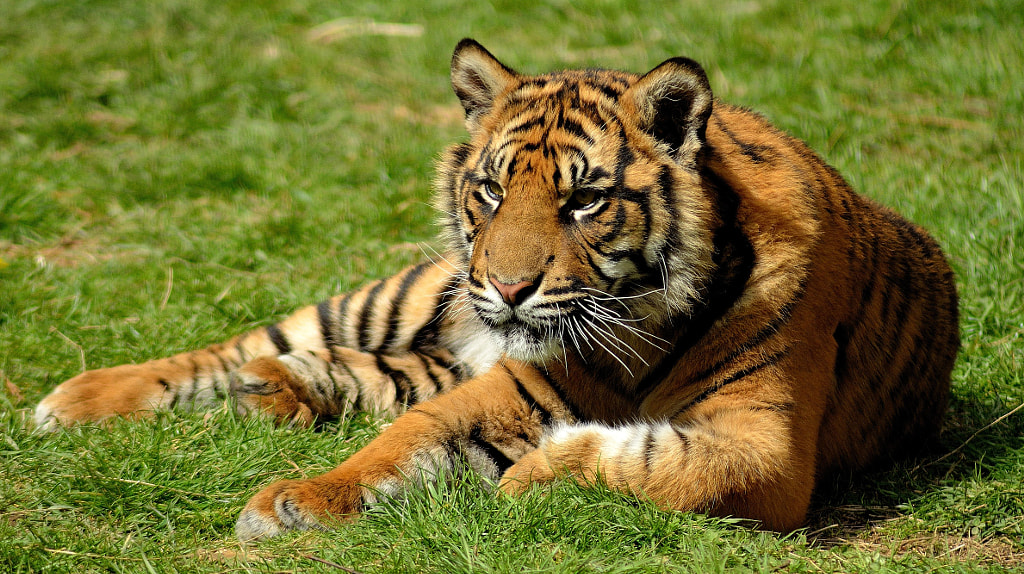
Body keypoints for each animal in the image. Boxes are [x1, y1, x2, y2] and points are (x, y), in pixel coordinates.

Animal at [34, 39, 958, 536]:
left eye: (583, 200)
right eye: (490, 190)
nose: (509, 288)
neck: (644, 326)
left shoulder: (769, 449)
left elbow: (664, 469)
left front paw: (541, 473)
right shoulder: (515, 383)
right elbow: (405, 440)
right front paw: (295, 503)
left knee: (352, 373)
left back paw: (278, 391)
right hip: (407, 295)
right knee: (249, 344)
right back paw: (79, 398)